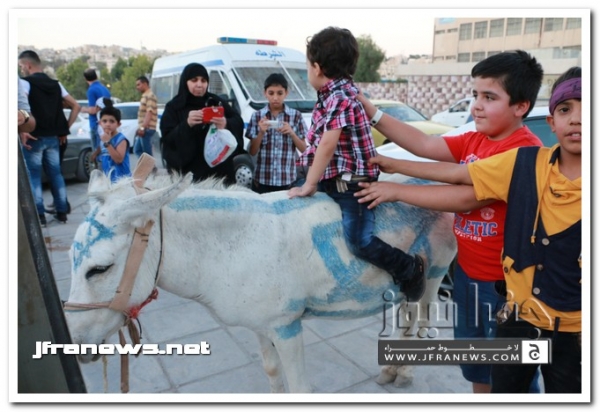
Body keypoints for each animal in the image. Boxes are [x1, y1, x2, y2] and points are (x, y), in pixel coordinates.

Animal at [64, 168, 457, 393]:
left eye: (99, 269)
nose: (77, 348)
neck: (233, 245)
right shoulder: (260, 324)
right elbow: (271, 371)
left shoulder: (286, 326)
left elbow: (300, 388)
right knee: (405, 319)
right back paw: (392, 369)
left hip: (436, 272)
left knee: (421, 321)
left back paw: (404, 373)